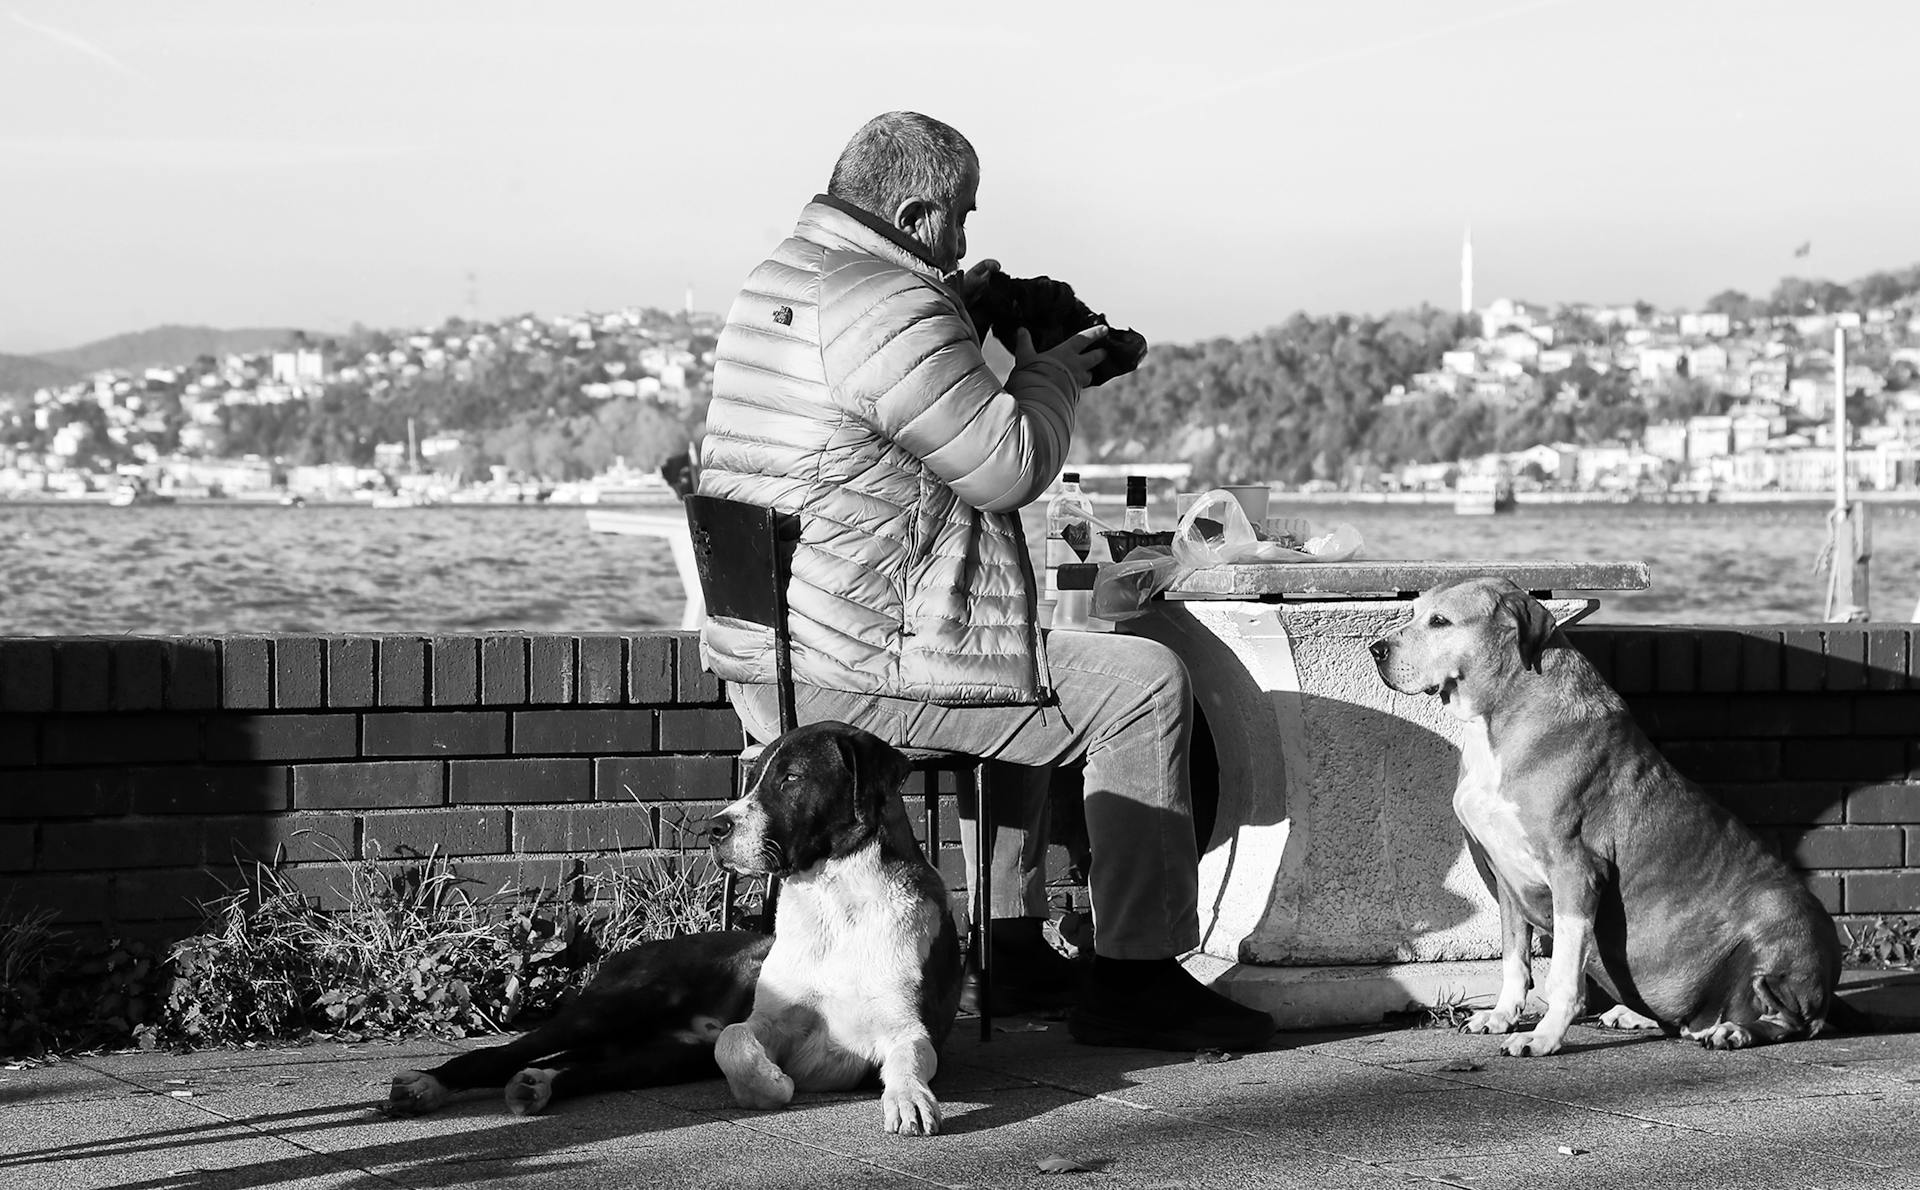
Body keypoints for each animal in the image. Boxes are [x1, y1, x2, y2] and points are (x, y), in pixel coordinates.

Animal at [387, 714, 960, 1136]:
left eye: (792, 778)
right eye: (753, 778)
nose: (715, 828)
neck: (837, 905)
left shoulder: (910, 1028)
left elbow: (910, 1057)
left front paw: (908, 1099)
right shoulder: (763, 1023)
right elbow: (734, 1041)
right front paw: (771, 1086)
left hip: (660, 1056)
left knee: (580, 1067)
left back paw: (537, 1083)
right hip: (613, 1008)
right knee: (498, 1054)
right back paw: (425, 1085)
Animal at [1367, 579, 1843, 1051]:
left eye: (1440, 621)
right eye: (1414, 612)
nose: (1376, 649)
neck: (1501, 716)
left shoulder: (1576, 872)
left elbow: (1563, 973)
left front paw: (1542, 1038)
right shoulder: (1506, 879)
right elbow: (1514, 959)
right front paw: (1501, 1017)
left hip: (1776, 917)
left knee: (1791, 1019)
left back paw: (1734, 1030)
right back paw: (1641, 1015)